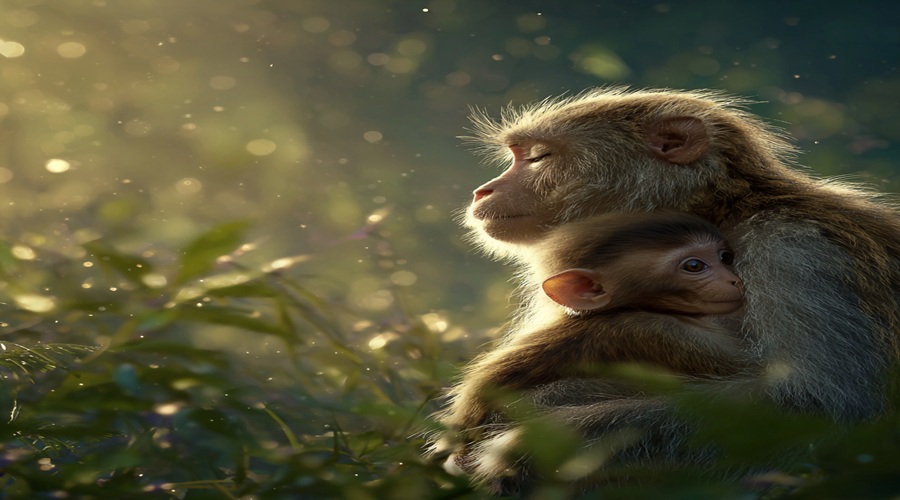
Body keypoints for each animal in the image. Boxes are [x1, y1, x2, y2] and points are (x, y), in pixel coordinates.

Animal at [439, 87, 900, 492]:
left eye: (538, 157)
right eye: (520, 156)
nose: (483, 191)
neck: (722, 209)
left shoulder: (797, 254)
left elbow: (815, 408)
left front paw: (523, 451)